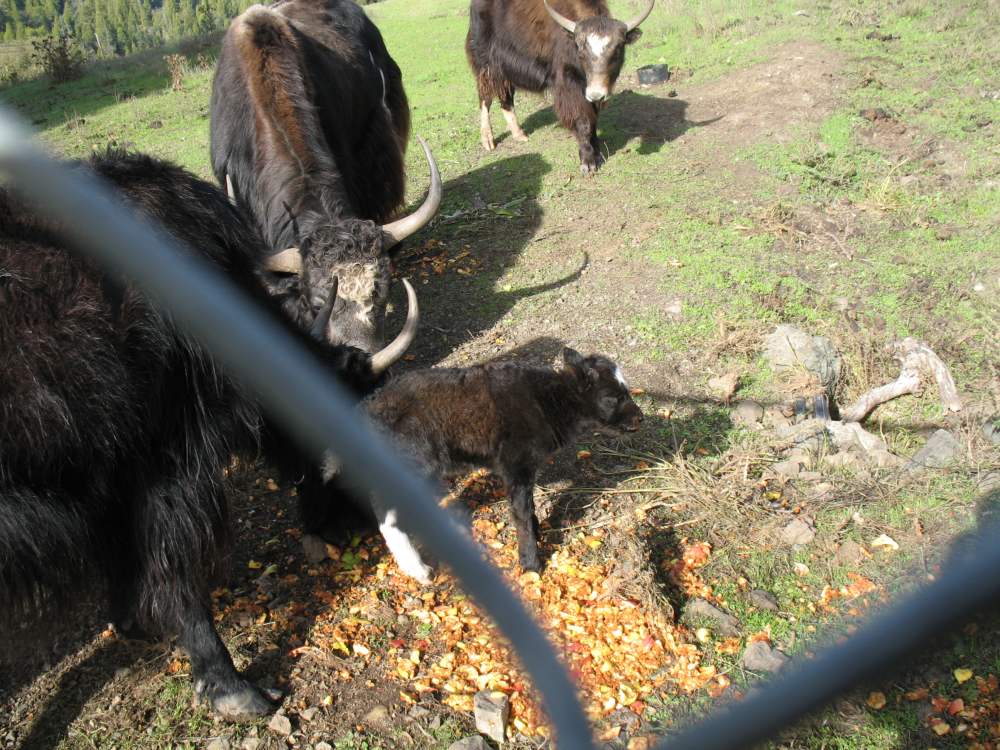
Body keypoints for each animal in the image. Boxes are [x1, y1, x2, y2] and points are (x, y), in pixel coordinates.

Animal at [0, 151, 389, 721]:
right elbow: (175, 565)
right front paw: (232, 687)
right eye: (343, 400)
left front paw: (132, 622)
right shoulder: (168, 458)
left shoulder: (114, 473)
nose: (359, 521)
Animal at [466, 0, 654, 174]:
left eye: (617, 49)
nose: (596, 94)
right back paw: (488, 140)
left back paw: (519, 134)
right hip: (486, 65)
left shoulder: (588, 88)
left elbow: (593, 117)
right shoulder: (569, 86)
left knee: (506, 96)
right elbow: (583, 120)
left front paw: (598, 154)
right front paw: (588, 162)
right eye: (581, 50)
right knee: (485, 98)